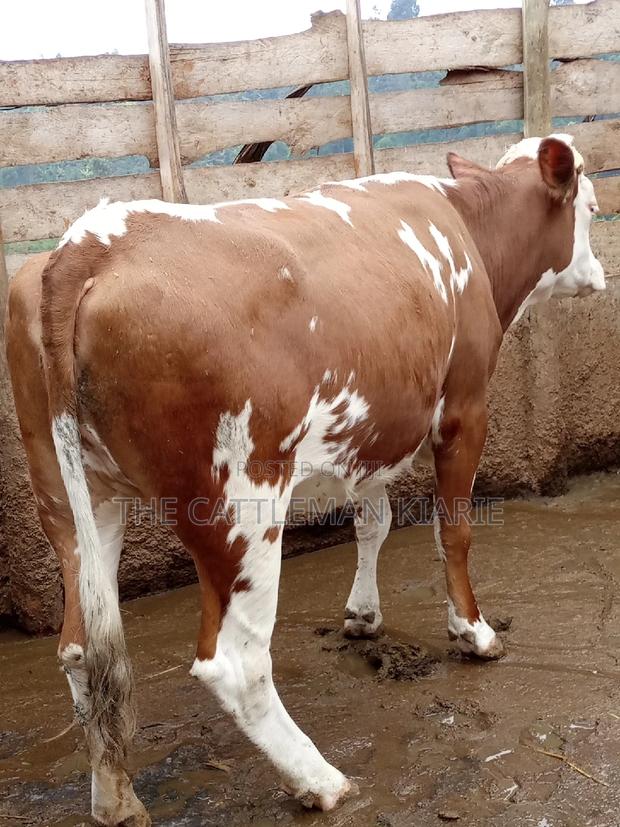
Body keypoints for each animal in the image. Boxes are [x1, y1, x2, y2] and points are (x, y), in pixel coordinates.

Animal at [5, 133, 605, 825]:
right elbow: (452, 532)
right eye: (591, 206)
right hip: (241, 504)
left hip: (72, 502)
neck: (467, 228)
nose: (600, 274)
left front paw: (363, 615)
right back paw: (319, 779)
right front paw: (473, 633)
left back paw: (115, 797)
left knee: (82, 650)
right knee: (233, 662)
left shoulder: (375, 427)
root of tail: (90, 242)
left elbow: (375, 521)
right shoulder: (464, 407)